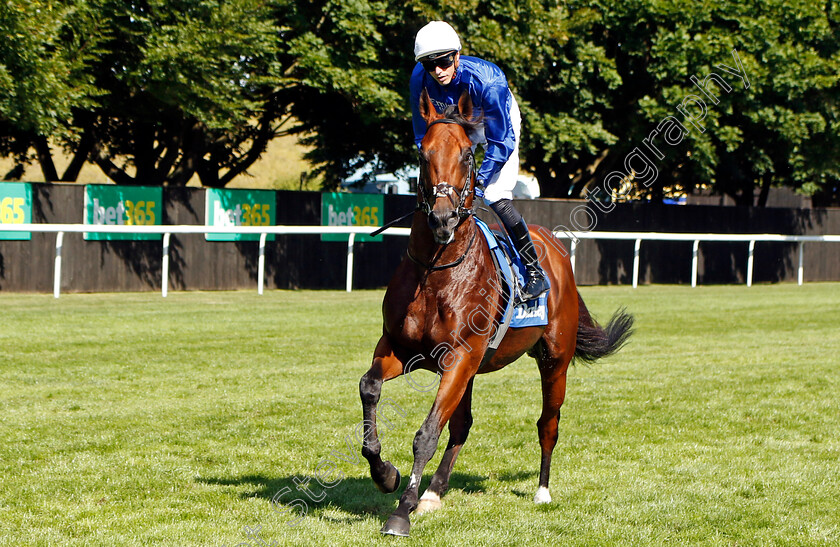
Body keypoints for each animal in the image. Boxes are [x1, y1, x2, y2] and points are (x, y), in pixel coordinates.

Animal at [358, 88, 632, 536]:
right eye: (422, 153)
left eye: (469, 154)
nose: (442, 218)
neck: (437, 271)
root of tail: (555, 248)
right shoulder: (402, 348)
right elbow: (370, 388)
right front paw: (386, 475)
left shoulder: (461, 355)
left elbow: (427, 433)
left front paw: (401, 511)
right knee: (462, 424)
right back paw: (434, 492)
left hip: (554, 359)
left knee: (548, 423)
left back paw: (541, 490)